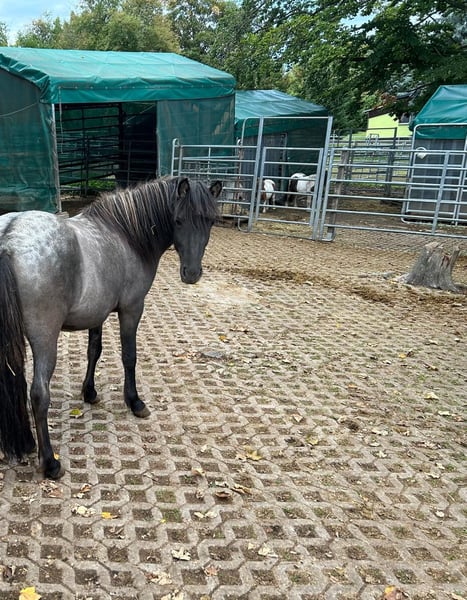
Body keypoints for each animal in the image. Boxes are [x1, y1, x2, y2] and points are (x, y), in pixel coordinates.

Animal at [0, 176, 222, 479]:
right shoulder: (131, 310)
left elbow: (94, 351)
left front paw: (89, 392)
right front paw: (135, 402)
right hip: (45, 339)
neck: (124, 235)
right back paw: (50, 462)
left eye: (210, 220)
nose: (192, 274)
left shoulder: (97, 314)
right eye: (178, 220)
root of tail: (8, 237)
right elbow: (129, 356)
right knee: (38, 394)